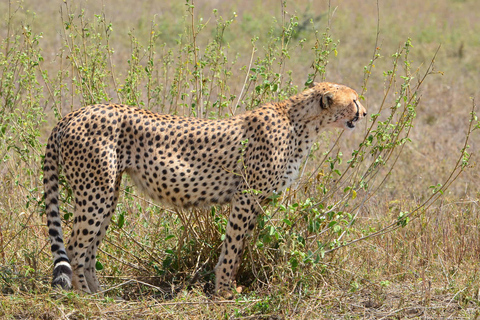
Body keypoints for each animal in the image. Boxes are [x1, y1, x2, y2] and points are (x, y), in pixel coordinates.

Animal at [44, 82, 368, 296]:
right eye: (354, 100)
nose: (364, 113)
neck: (302, 123)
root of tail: (74, 113)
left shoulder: (254, 201)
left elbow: (239, 245)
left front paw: (225, 286)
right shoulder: (245, 196)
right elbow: (233, 247)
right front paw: (224, 291)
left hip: (107, 192)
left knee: (89, 248)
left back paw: (100, 293)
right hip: (95, 192)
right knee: (75, 245)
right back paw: (83, 298)